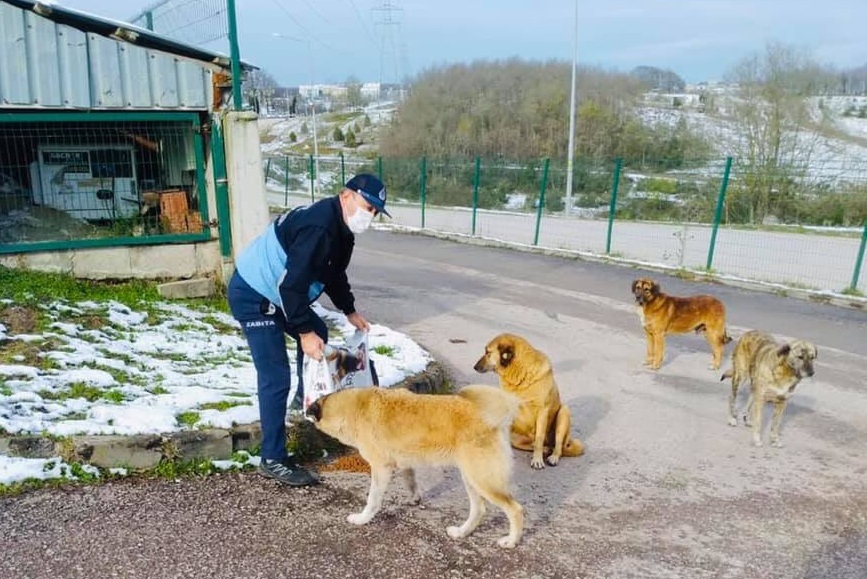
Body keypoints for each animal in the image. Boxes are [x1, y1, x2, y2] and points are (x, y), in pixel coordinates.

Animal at [306, 386, 524, 548]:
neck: (355, 407)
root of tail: (493, 421)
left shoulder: (380, 468)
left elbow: (372, 500)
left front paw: (362, 519)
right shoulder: (404, 463)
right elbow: (410, 481)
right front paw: (414, 499)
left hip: (483, 480)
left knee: (515, 510)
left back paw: (511, 541)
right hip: (471, 478)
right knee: (479, 510)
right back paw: (461, 532)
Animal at [472, 336, 588, 472]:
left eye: (488, 352)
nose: (474, 367)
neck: (519, 373)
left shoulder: (543, 411)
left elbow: (539, 439)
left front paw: (537, 460)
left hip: (564, 413)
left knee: (557, 445)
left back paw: (552, 456)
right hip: (517, 437)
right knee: (530, 444)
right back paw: (545, 450)